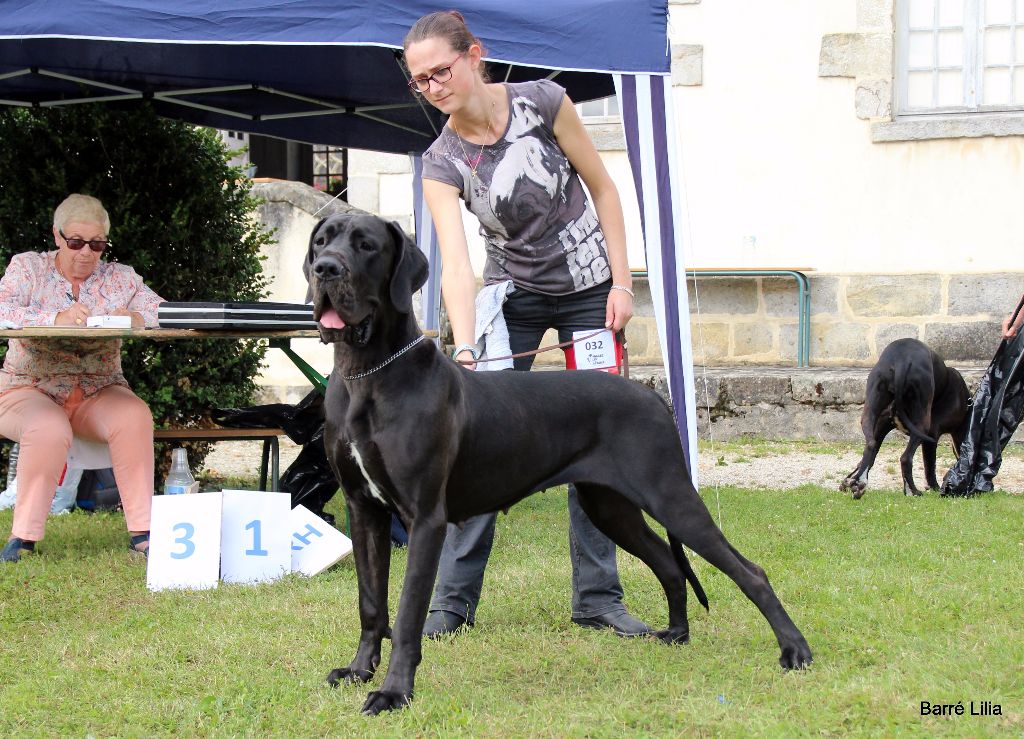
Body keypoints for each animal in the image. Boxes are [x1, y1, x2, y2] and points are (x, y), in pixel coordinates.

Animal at [835, 337, 970, 497]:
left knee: (871, 445)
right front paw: (935, 487)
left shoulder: (883, 423)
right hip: (922, 425)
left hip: (871, 410)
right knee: (905, 458)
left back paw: (860, 484)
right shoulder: (932, 436)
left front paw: (850, 480)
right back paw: (912, 491)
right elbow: (930, 467)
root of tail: (902, 360)